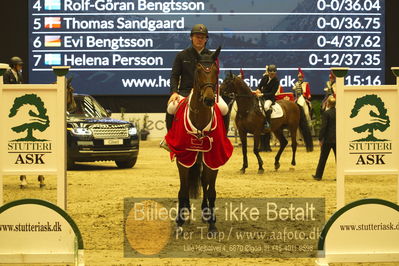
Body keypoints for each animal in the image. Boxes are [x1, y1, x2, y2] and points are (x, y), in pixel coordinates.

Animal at [166, 46, 228, 234]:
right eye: (199, 70)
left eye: (215, 71)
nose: (208, 99)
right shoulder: (183, 158)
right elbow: (183, 189)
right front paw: (180, 221)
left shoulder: (213, 159)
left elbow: (211, 190)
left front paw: (212, 223)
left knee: (203, 181)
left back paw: (205, 213)